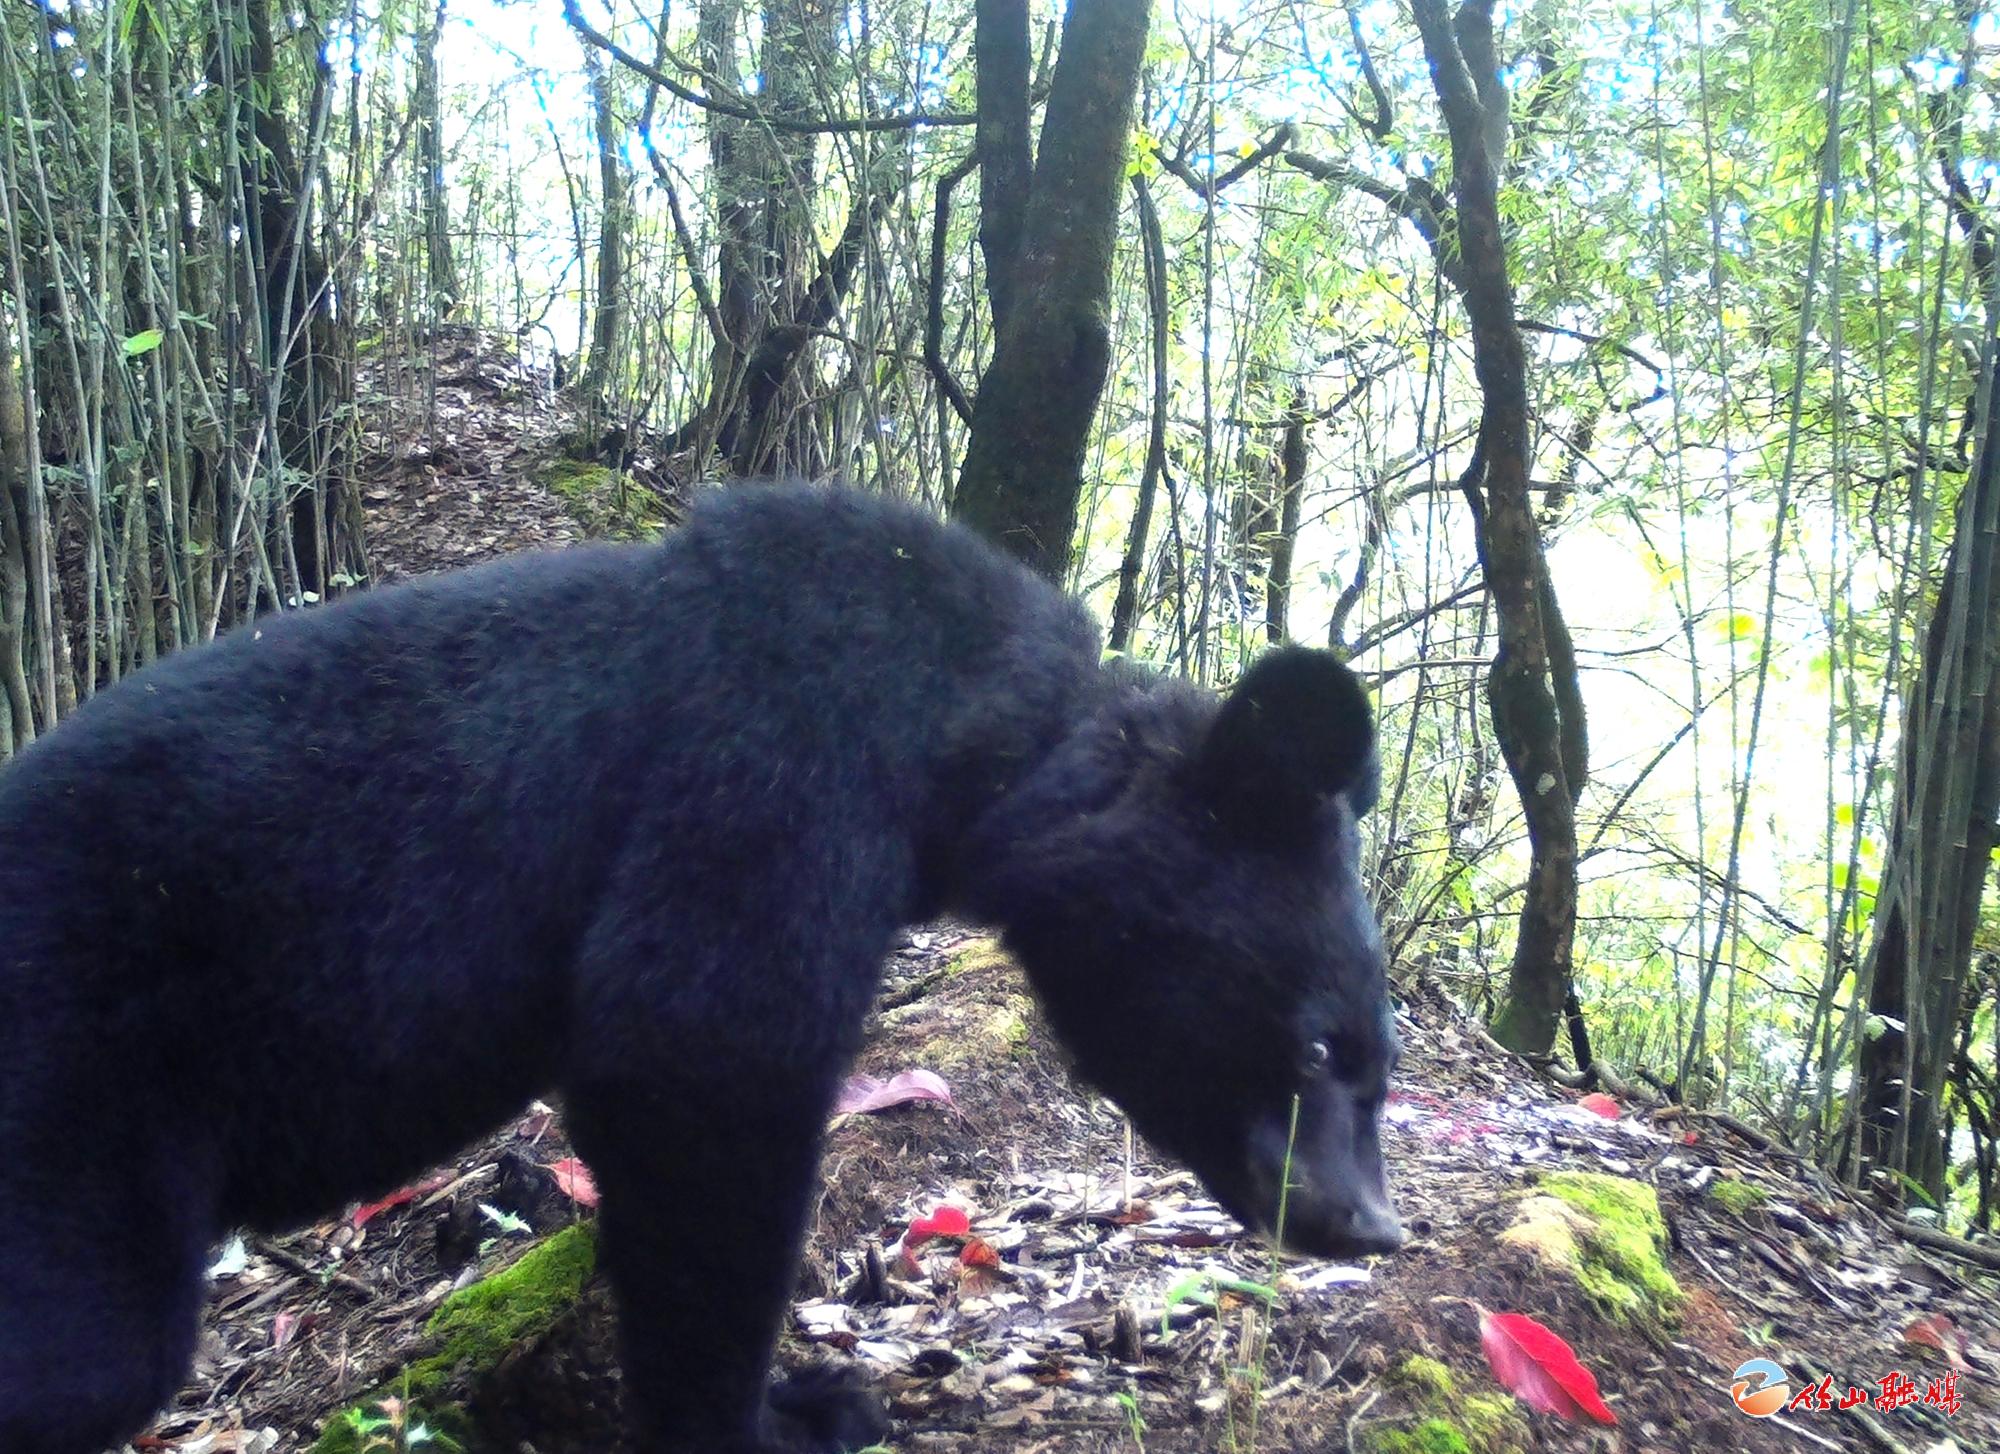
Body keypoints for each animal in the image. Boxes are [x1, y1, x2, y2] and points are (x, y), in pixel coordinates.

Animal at [0, 484, 1408, 1448]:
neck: (972, 748)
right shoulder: (775, 755)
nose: (1366, 1224)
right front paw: (788, 1410)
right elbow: (699, 1051)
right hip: (73, 1100)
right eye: (1318, 1040)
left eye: (1378, 1067)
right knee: (91, 1350)